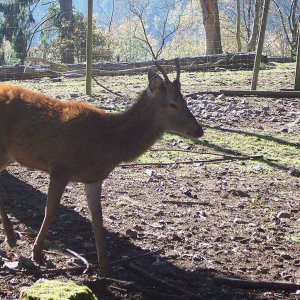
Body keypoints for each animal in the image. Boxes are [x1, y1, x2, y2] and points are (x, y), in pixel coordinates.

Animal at [0, 61, 204, 274]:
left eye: (185, 100)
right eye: (173, 104)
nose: (199, 130)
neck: (110, 141)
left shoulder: (94, 178)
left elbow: (97, 218)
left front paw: (106, 267)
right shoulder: (60, 167)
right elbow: (51, 211)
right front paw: (38, 253)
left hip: (9, 154)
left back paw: (11, 236)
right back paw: (12, 237)